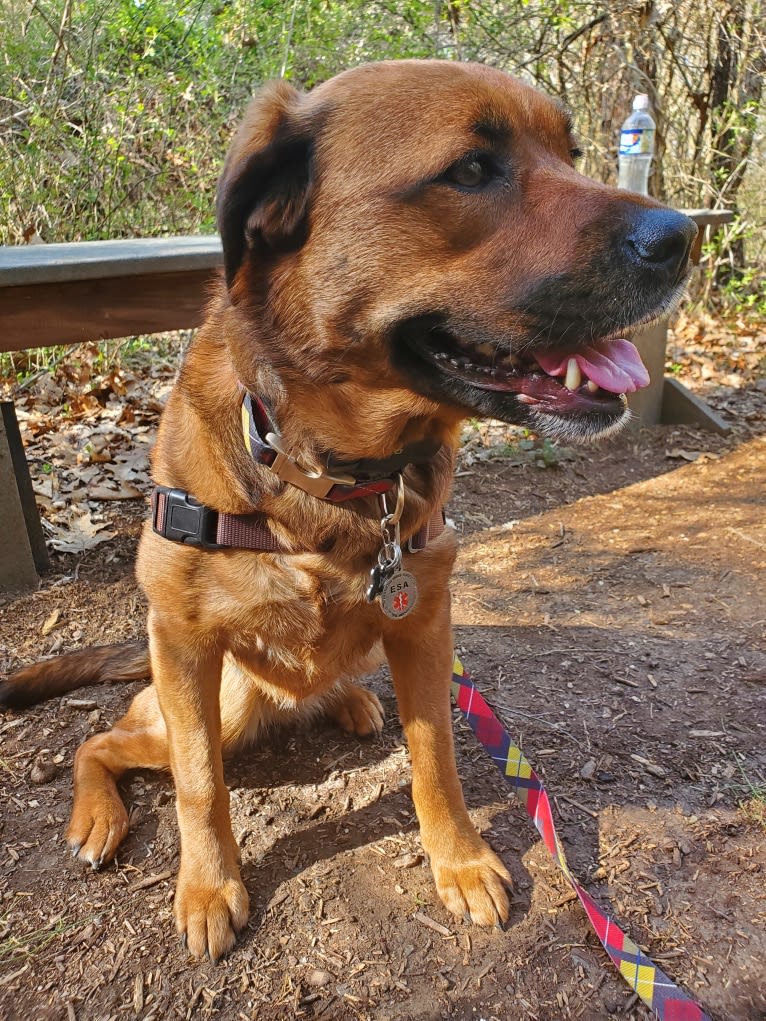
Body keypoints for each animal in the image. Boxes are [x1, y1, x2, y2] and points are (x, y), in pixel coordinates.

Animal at [0, 59, 694, 959]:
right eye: (472, 169)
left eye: (572, 154)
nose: (685, 237)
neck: (333, 477)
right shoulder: (182, 646)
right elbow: (198, 785)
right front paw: (209, 885)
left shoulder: (425, 624)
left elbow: (436, 756)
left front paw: (459, 859)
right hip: (218, 700)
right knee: (106, 742)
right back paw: (97, 815)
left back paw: (353, 698)